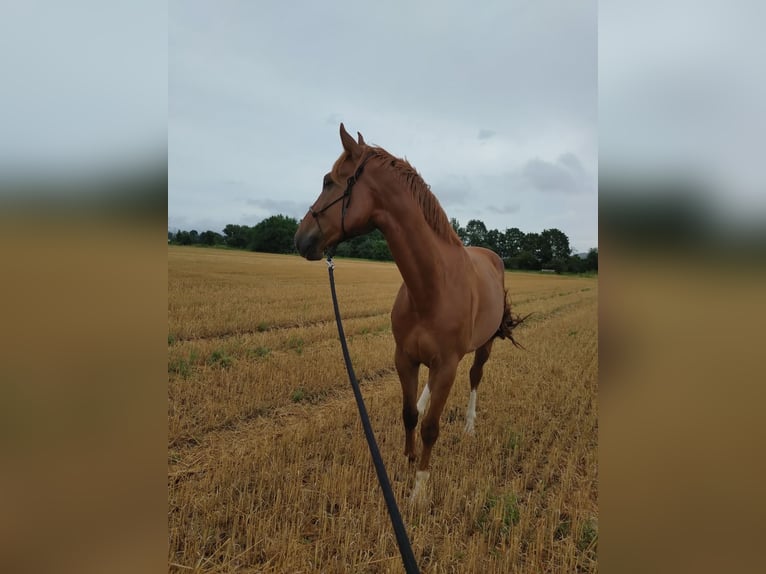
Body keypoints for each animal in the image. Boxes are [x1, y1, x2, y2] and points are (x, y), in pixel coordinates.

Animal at [296, 124, 528, 502]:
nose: (300, 238)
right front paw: (407, 460)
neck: (431, 287)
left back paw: (469, 425)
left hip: (483, 347)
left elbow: (431, 427)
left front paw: (419, 487)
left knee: (475, 377)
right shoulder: (405, 358)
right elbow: (408, 415)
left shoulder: (447, 365)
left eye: (329, 181)